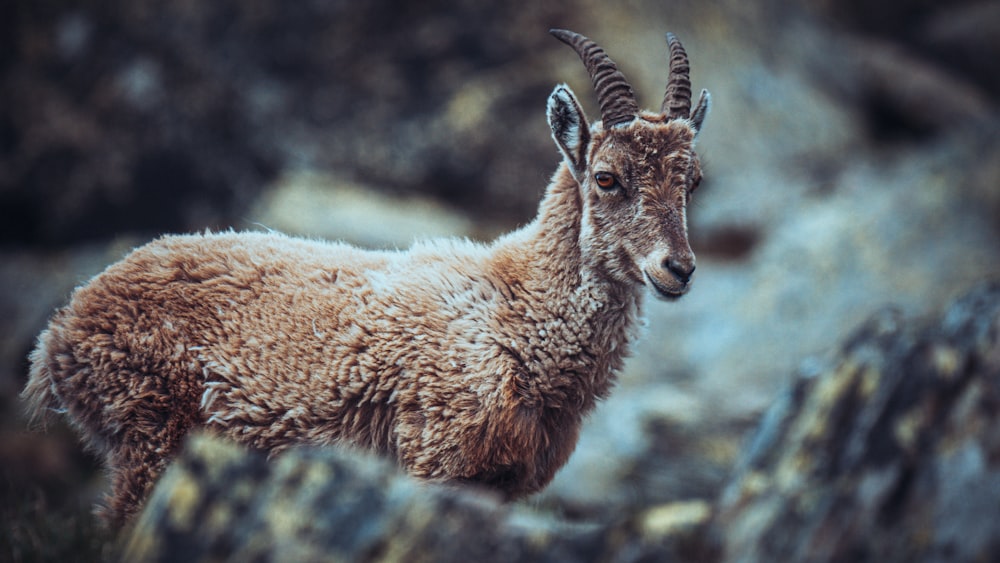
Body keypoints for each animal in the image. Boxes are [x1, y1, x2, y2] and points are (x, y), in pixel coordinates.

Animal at [23, 28, 712, 528]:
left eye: (693, 180)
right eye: (607, 177)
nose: (677, 269)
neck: (516, 315)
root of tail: (59, 334)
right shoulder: (435, 461)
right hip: (149, 430)